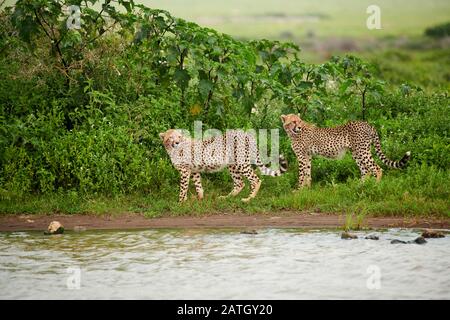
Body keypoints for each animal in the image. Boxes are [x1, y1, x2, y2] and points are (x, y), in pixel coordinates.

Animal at [282, 114, 412, 188]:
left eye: (299, 120)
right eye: (294, 121)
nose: (298, 126)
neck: (293, 132)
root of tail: (367, 123)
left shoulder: (301, 157)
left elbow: (301, 174)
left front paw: (298, 190)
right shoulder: (307, 156)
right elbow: (307, 173)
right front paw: (307, 190)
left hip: (362, 151)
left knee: (377, 169)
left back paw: (376, 186)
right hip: (356, 153)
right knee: (366, 171)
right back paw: (359, 187)